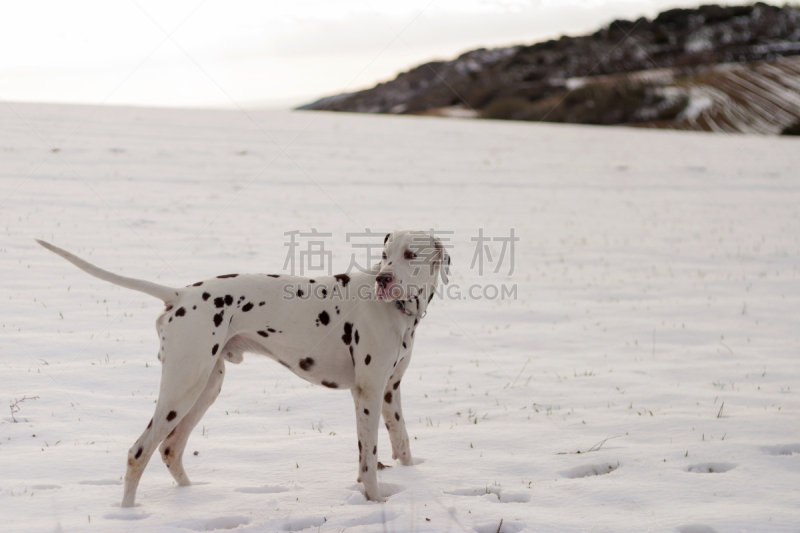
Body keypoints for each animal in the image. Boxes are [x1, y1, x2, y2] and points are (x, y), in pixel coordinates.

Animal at [36, 229, 450, 502]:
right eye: (385, 254)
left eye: (410, 255)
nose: (384, 279)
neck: (397, 311)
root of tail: (180, 294)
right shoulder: (367, 394)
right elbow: (369, 460)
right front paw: (377, 502)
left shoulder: (390, 392)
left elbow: (402, 444)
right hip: (182, 389)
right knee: (139, 452)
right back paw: (129, 514)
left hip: (206, 387)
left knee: (170, 449)